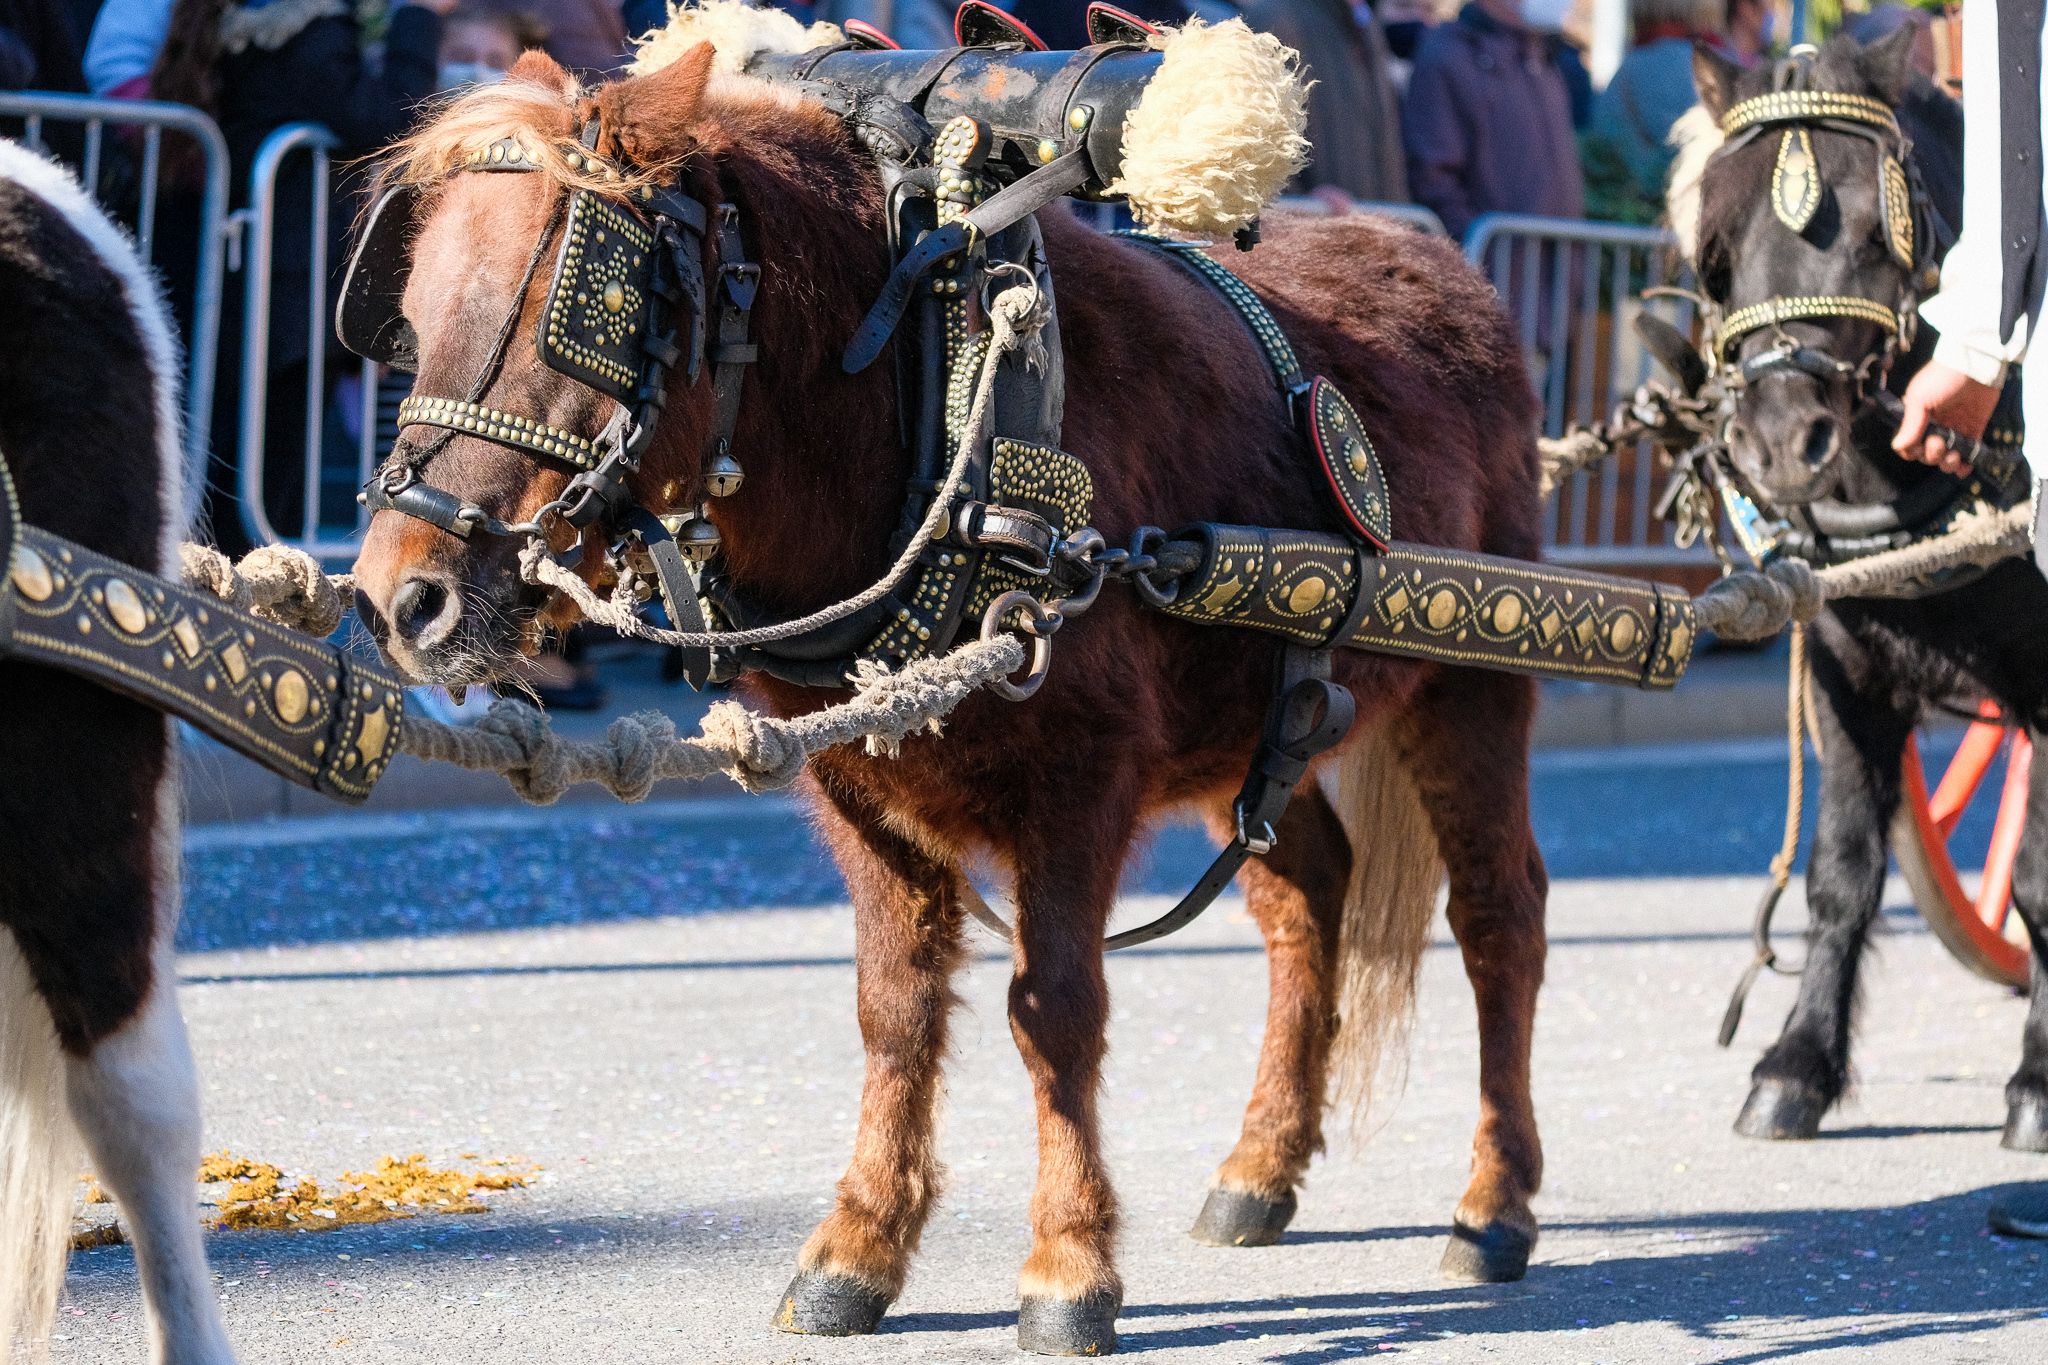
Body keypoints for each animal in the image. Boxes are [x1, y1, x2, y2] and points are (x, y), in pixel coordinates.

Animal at [356, 40, 1548, 1358]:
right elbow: (894, 1009)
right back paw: (1257, 1172)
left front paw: (1069, 1269)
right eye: (409, 317)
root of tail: (1449, 271)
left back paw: (1493, 1205)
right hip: (1255, 737)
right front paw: (854, 1251)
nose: (398, 601)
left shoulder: (1078, 784)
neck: (929, 412)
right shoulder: (854, 779)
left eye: (570, 313)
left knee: (1498, 916)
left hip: (1473, 689)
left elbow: (1055, 1008)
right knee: (1309, 896)